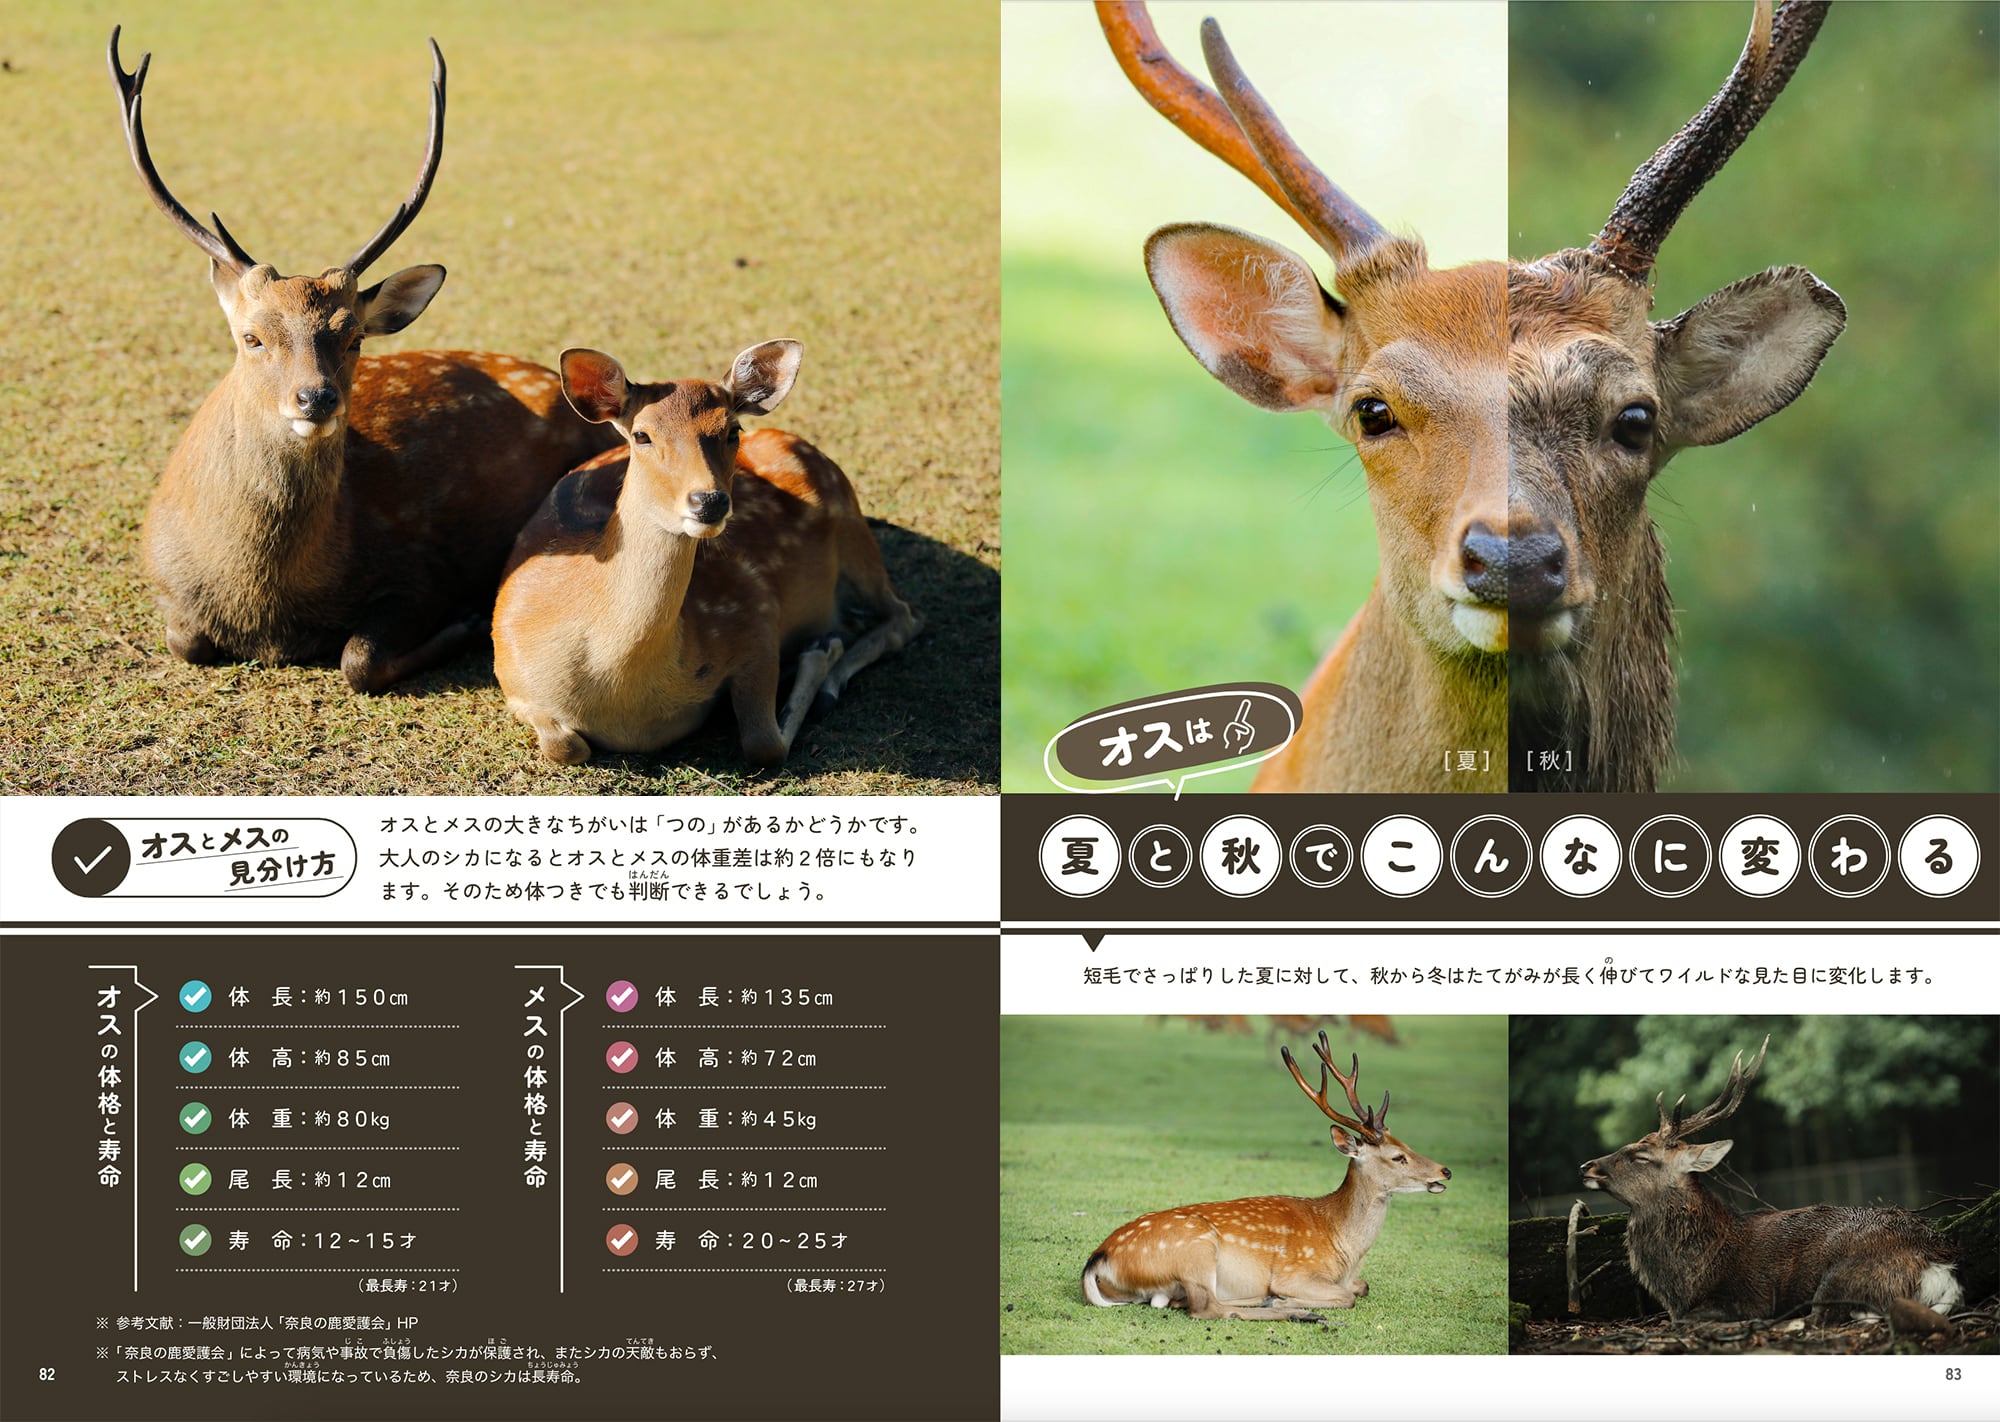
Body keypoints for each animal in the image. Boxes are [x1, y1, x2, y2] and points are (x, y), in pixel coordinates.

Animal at [108, 28, 615, 693]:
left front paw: (466, 621)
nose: (316, 398)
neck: (264, 607)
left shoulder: (419, 566)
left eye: (352, 337)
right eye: (252, 338)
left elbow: (358, 659)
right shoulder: (168, 589)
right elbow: (186, 640)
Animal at [490, 343, 919, 767]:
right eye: (641, 435)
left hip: (852, 524)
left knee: (904, 616)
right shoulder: (512, 677)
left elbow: (764, 744)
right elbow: (565, 747)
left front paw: (819, 651)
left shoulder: (754, 608)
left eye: (733, 429)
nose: (709, 501)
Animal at [1081, 1033, 1449, 1321]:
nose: (1444, 1170)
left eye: (1407, 1144)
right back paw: (1293, 1310)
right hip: (1196, 1250)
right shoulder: (1295, 1272)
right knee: (1207, 1307)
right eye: (1398, 1157)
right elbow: (1347, 1297)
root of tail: (1098, 1261)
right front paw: (1285, 1299)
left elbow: (1362, 1287)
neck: (1343, 1248)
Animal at [1580, 1037, 1962, 1335]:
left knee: (1819, 1320)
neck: (1690, 1277)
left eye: (1641, 1156)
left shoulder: (1748, 1296)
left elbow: (1686, 1320)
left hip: (1844, 1275)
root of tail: (1937, 1263)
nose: (1587, 1166)